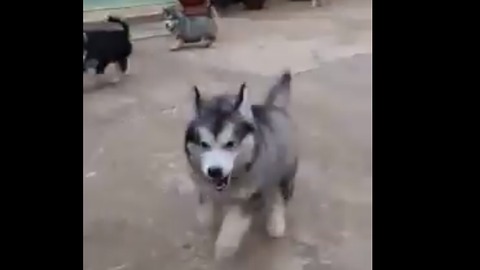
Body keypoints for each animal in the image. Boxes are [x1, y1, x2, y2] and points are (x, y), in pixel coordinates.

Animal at [186, 71, 298, 260]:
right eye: (204, 144)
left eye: (230, 144)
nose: (215, 171)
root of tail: (274, 108)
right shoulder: (205, 189)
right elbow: (206, 217)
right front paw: (208, 228)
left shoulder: (250, 196)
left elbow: (233, 223)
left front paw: (223, 248)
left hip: (283, 173)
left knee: (279, 197)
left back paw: (275, 223)